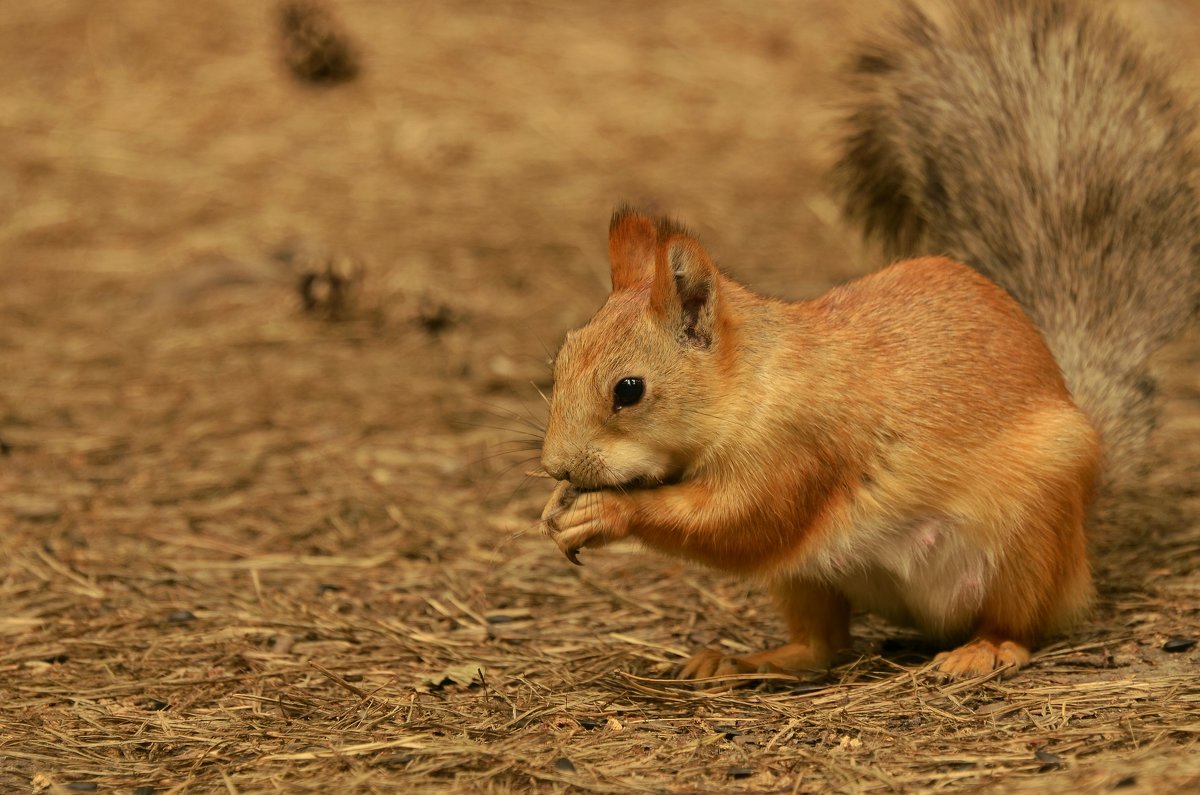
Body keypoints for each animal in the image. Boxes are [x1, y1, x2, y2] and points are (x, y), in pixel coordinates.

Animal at [537, 1, 1200, 686]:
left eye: (629, 390)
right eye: (562, 357)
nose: (556, 466)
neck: (753, 382)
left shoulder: (800, 446)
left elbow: (741, 522)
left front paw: (604, 513)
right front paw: (556, 506)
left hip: (1030, 532)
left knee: (1022, 621)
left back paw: (987, 648)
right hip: (806, 581)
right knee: (821, 644)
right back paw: (744, 658)